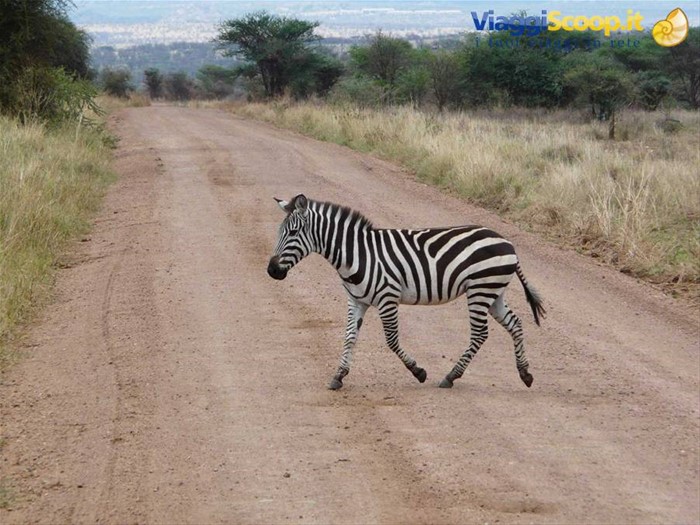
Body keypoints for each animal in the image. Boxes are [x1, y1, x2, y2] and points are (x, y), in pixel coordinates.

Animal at [267, 194, 545, 390]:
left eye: (293, 232)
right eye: (279, 232)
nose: (271, 271)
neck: (357, 255)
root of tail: (507, 242)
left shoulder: (387, 298)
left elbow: (391, 340)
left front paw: (418, 372)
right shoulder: (356, 300)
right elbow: (349, 337)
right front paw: (339, 375)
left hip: (480, 290)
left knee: (480, 334)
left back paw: (451, 376)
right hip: (493, 293)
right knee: (515, 324)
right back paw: (525, 374)